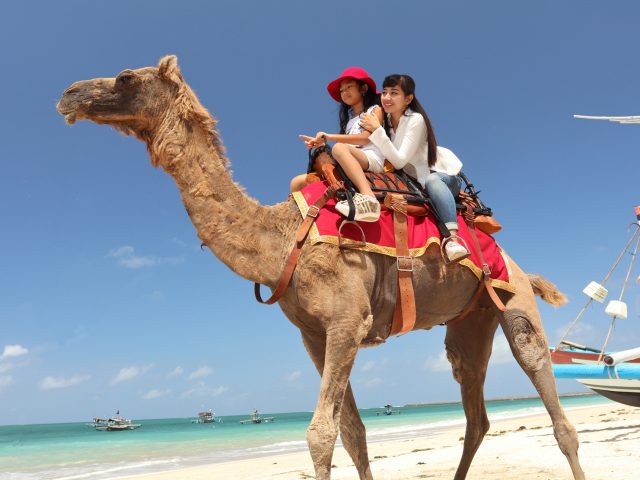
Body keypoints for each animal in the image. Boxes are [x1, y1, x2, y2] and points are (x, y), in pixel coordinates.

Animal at [56, 56, 585, 480]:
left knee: (548, 392)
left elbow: (319, 433)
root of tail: (516, 264)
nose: (68, 95)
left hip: (511, 296)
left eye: (125, 77)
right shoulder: (314, 333)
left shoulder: (348, 321)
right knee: (474, 409)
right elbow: (351, 432)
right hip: (470, 321)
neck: (280, 238)